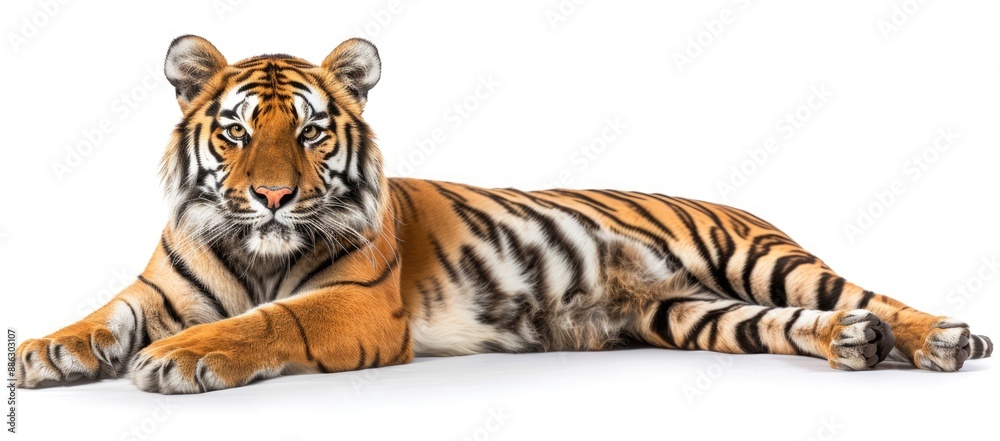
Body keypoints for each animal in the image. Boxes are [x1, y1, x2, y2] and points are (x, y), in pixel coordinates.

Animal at [14, 35, 993, 394]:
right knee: (807, 322)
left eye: (311, 132)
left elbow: (269, 320)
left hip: (762, 258)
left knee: (865, 294)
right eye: (238, 132)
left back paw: (942, 339)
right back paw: (855, 345)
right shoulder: (162, 285)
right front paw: (46, 352)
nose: (272, 196)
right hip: (700, 313)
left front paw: (178, 359)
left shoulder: (359, 304)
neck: (255, 246)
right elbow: (106, 312)